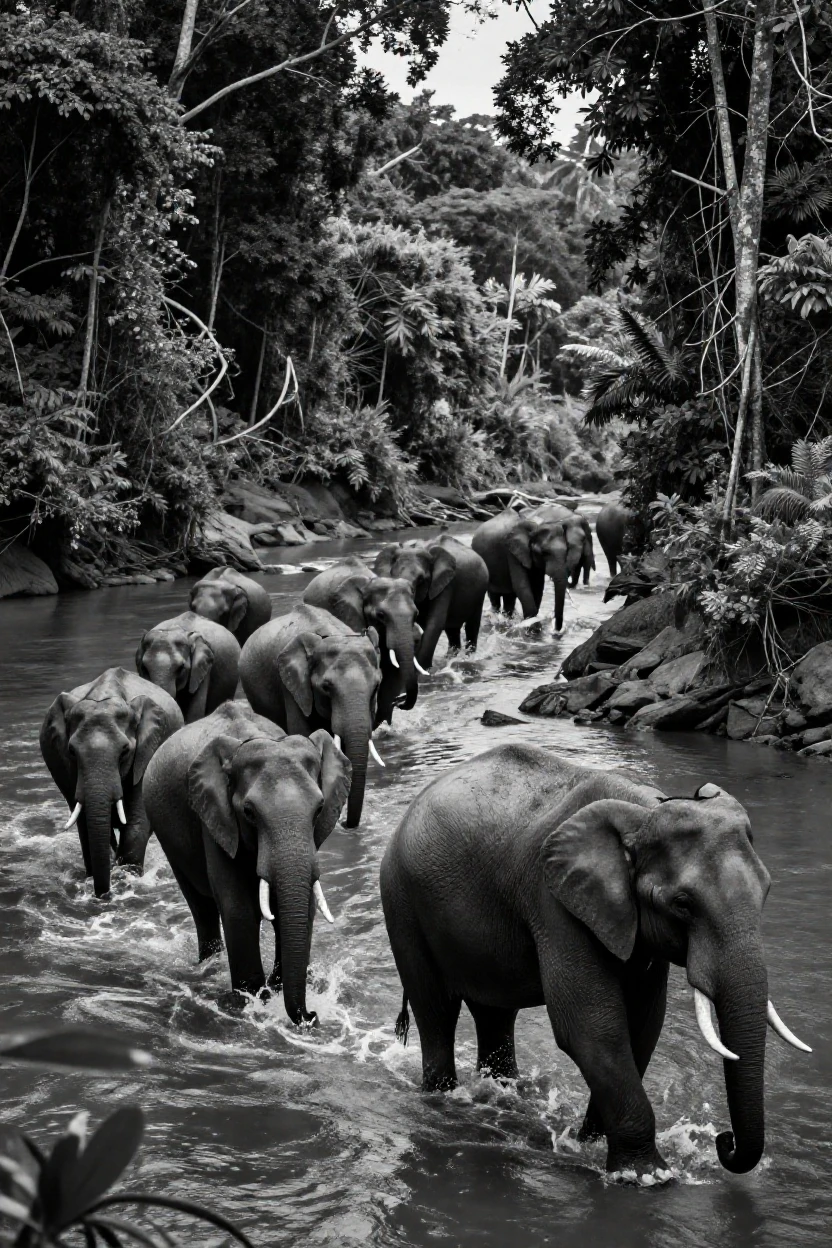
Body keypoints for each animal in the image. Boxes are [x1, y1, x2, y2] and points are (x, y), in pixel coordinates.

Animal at [40, 667, 183, 897]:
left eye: (125, 751)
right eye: (71, 751)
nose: (104, 896)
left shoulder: (149, 752)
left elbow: (136, 823)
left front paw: (128, 878)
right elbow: (87, 825)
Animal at [144, 701, 350, 1021]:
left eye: (319, 810)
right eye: (249, 813)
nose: (312, 1016)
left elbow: (302, 905)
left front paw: (275, 990)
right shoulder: (215, 819)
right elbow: (237, 908)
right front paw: (252, 1000)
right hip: (167, 836)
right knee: (201, 906)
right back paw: (209, 965)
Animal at [373, 535, 488, 668]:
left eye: (420, 579)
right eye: (393, 575)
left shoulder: (446, 585)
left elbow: (435, 624)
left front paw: (423, 668)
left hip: (480, 594)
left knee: (472, 626)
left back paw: (468, 657)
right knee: (452, 631)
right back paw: (450, 657)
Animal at [381, 743, 811, 1178]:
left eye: (767, 890)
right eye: (682, 904)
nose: (725, 1141)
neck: (645, 810)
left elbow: (643, 1024)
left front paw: (588, 1142)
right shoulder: (554, 902)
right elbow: (591, 1027)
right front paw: (647, 1175)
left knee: (494, 1013)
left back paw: (504, 1096)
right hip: (401, 902)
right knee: (436, 1010)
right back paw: (444, 1099)